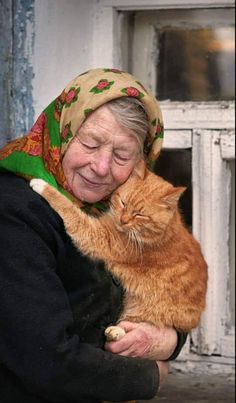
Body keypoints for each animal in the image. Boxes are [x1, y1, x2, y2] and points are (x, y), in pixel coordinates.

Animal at [29, 159, 206, 340]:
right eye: (123, 203)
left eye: (140, 214)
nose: (123, 220)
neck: (161, 234)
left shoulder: (98, 236)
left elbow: (70, 210)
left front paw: (43, 185)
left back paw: (116, 332)